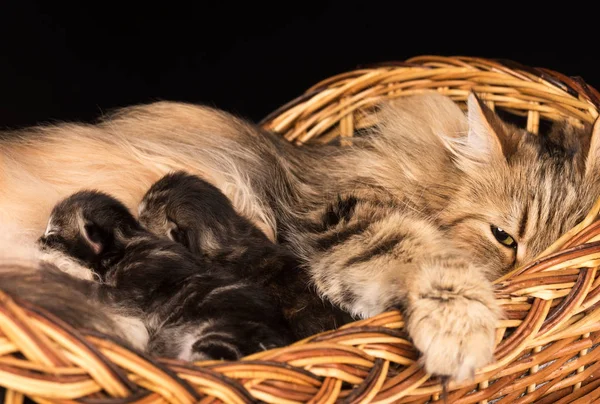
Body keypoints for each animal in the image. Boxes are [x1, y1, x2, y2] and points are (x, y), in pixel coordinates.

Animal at [38, 191, 292, 362]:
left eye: (53, 235)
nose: (38, 240)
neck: (126, 244)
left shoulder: (130, 290)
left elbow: (89, 288)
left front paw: (51, 270)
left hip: (222, 335)